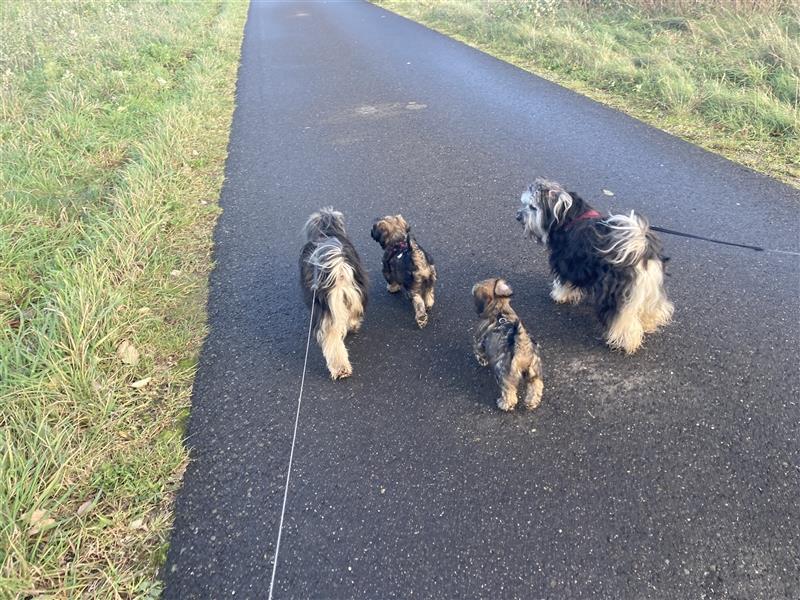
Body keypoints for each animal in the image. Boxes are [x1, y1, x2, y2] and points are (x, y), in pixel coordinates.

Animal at [468, 278, 544, 410]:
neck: (499, 308)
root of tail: (523, 347)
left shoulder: (478, 341)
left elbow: (479, 352)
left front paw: (482, 361)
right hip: (534, 372)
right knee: (536, 387)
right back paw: (531, 403)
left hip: (503, 374)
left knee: (510, 394)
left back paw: (504, 404)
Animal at [516, 178, 672, 356]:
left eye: (532, 207)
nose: (518, 216)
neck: (569, 216)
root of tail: (640, 249)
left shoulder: (567, 262)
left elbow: (564, 282)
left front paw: (559, 295)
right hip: (650, 289)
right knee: (652, 308)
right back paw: (649, 323)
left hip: (617, 293)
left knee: (623, 321)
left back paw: (625, 343)